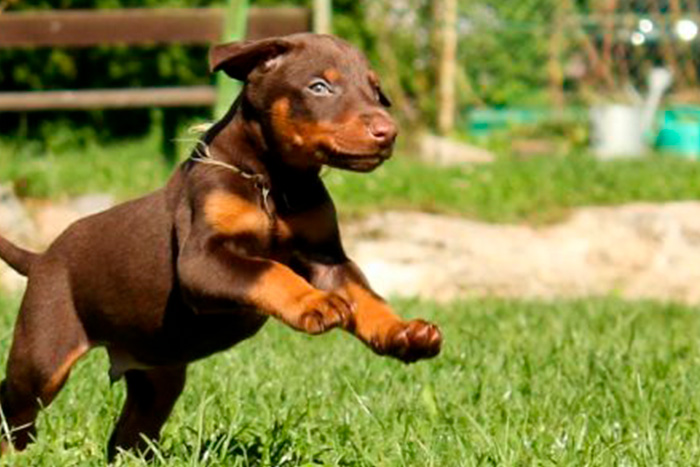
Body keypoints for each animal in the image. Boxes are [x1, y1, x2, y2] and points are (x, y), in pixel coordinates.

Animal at [0, 33, 440, 460]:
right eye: (319, 87)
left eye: (376, 91)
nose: (388, 132)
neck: (272, 182)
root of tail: (40, 258)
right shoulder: (201, 260)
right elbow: (270, 269)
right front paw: (315, 303)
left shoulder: (325, 256)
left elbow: (364, 295)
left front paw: (403, 333)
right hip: (43, 356)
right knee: (15, 409)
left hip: (158, 373)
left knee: (128, 433)